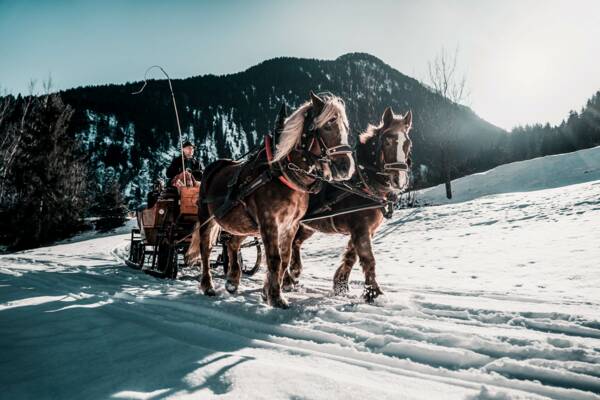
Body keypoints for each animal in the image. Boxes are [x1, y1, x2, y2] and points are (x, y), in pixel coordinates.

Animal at [190, 92, 354, 308]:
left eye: (345, 126)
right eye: (328, 125)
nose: (346, 167)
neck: (281, 173)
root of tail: (211, 168)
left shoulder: (290, 225)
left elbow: (284, 259)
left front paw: (268, 292)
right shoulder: (269, 222)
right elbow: (274, 259)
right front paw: (276, 298)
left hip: (245, 224)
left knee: (232, 243)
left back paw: (232, 281)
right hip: (207, 218)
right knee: (206, 249)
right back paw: (207, 286)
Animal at [282, 108, 412, 302]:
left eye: (407, 143)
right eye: (388, 140)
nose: (399, 180)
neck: (363, 183)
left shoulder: (364, 229)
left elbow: (351, 255)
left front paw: (341, 284)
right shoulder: (360, 228)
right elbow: (367, 258)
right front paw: (373, 293)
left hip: (306, 225)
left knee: (295, 243)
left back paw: (295, 272)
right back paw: (286, 280)